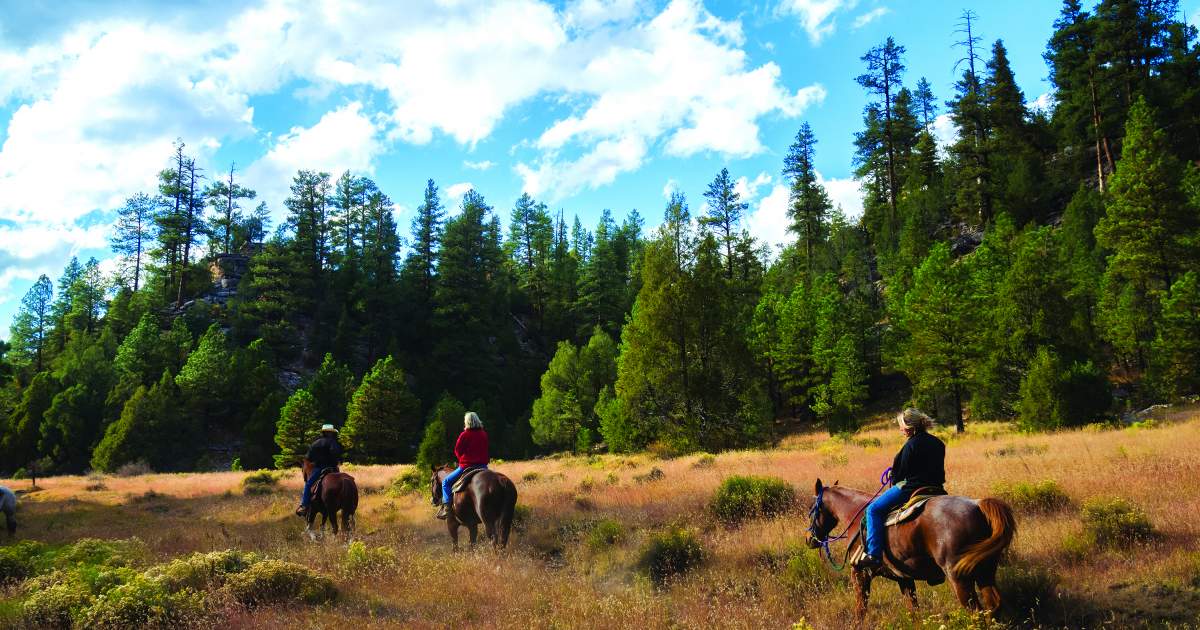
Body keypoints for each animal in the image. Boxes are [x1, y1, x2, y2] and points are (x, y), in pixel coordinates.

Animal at [806, 480, 1012, 619]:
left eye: (811, 509)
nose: (809, 539)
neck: (855, 516)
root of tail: (977, 505)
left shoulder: (860, 573)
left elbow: (860, 609)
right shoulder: (904, 578)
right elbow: (913, 610)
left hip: (960, 578)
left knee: (976, 612)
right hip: (985, 571)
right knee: (994, 605)